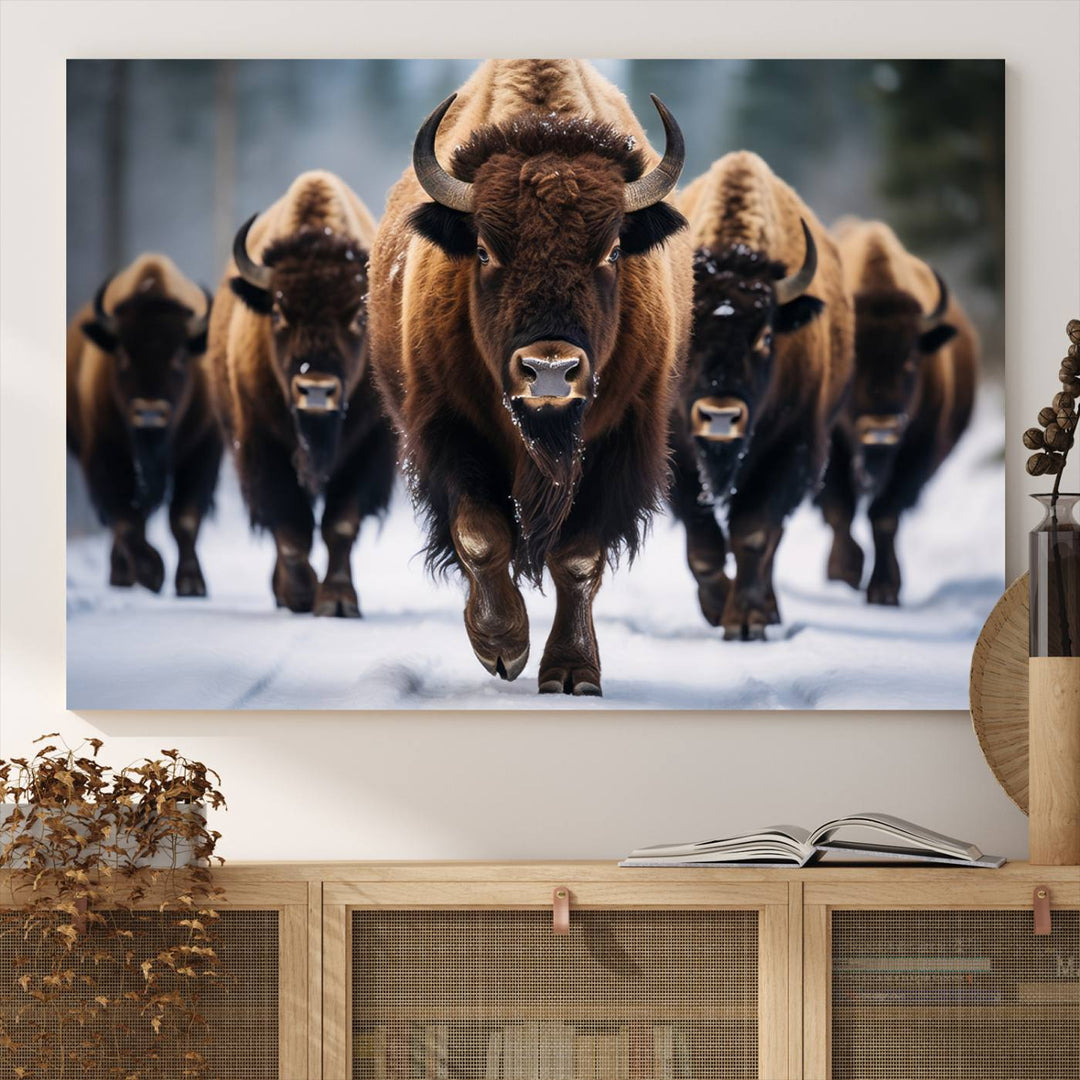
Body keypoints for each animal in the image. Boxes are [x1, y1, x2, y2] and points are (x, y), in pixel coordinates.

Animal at [371, 59, 691, 695]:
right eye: (484, 249)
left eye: (613, 250)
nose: (549, 371)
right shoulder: (449, 429)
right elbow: (480, 534)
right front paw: (502, 646)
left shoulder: (620, 439)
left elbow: (578, 557)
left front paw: (572, 672)